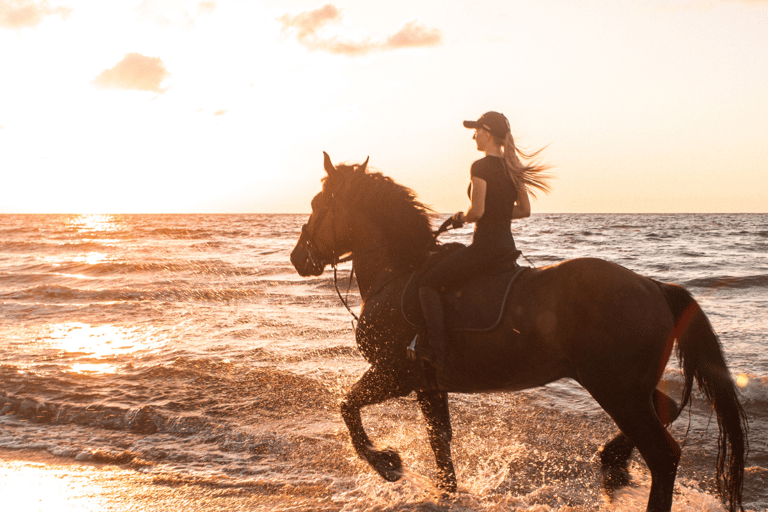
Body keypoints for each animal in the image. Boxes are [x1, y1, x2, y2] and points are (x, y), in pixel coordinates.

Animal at [288, 153, 744, 512]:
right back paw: (612, 462)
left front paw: (387, 463)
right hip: (631, 388)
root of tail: (653, 286)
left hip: (617, 390)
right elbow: (440, 444)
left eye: (317, 203)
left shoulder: (395, 374)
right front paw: (445, 493)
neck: (396, 273)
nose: (298, 258)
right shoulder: (428, 384)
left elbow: (348, 409)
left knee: (664, 456)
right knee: (668, 408)